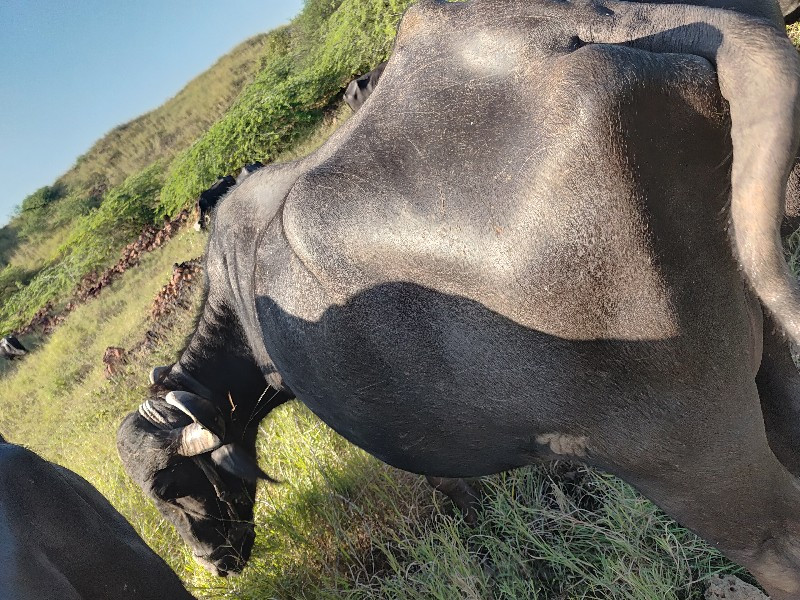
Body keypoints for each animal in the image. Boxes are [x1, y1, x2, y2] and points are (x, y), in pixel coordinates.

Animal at [119, 0, 800, 596]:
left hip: (680, 451)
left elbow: (450, 487)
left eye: (171, 486)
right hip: (767, 352)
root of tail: (569, 29)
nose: (213, 560)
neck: (244, 295)